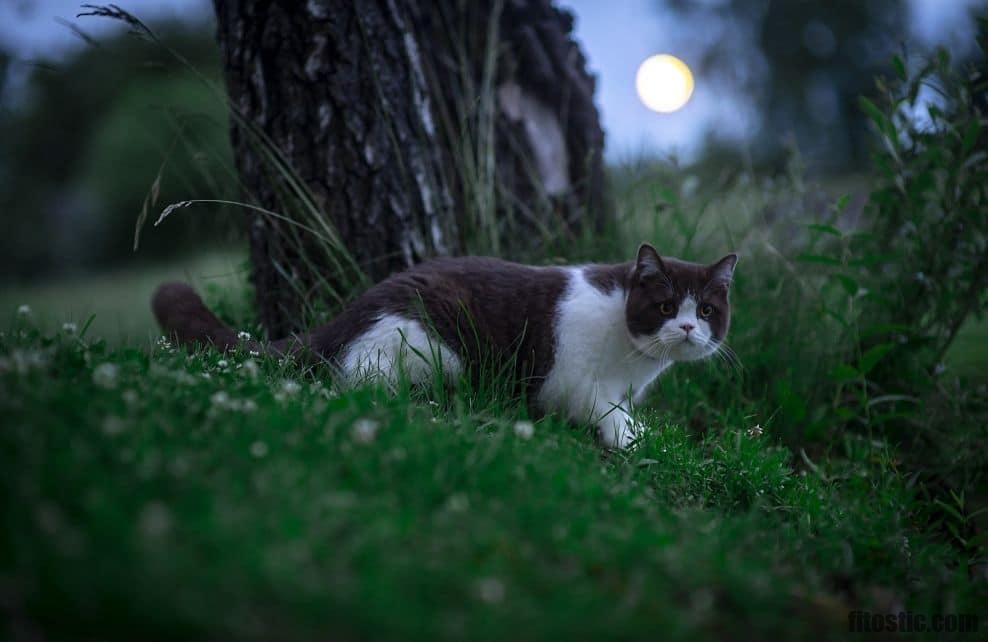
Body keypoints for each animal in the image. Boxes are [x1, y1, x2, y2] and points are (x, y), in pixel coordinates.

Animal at [154, 242, 736, 448]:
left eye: (706, 311)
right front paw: (635, 437)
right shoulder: (572, 377)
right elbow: (603, 409)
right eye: (666, 307)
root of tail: (338, 320)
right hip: (433, 346)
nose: (688, 329)